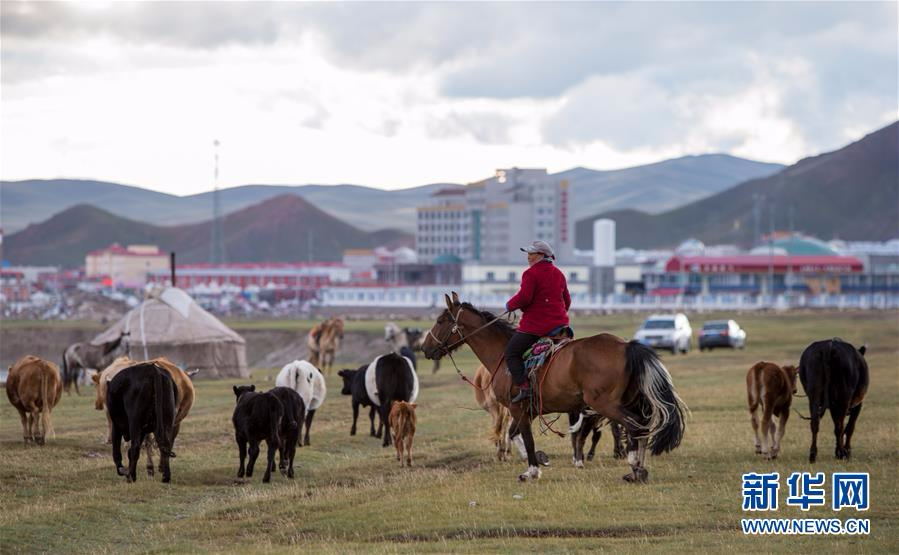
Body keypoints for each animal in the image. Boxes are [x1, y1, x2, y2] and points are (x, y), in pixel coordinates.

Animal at [424, 296, 688, 482]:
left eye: (440, 321)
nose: (426, 348)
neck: (502, 353)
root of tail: (626, 345)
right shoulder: (527, 410)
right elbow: (514, 434)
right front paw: (540, 459)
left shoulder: (517, 408)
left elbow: (526, 438)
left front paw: (531, 471)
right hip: (630, 400)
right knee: (641, 428)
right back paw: (638, 469)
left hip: (607, 404)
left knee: (634, 426)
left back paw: (634, 466)